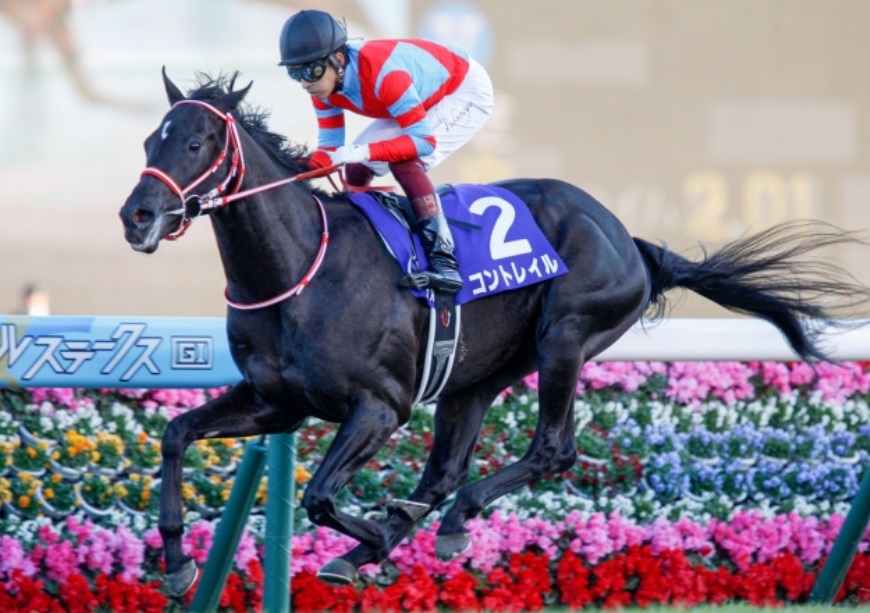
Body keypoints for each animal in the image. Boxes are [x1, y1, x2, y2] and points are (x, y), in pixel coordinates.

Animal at [119, 71, 868, 592]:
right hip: (473, 376)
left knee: (550, 449)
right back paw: (398, 533)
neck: (302, 268)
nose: (137, 216)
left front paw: (372, 540)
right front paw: (178, 562)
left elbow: (321, 494)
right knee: (444, 469)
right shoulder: (277, 402)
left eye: (197, 141)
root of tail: (630, 238)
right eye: (151, 140)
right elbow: (175, 434)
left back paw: (439, 526)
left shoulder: (379, 406)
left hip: (565, 334)